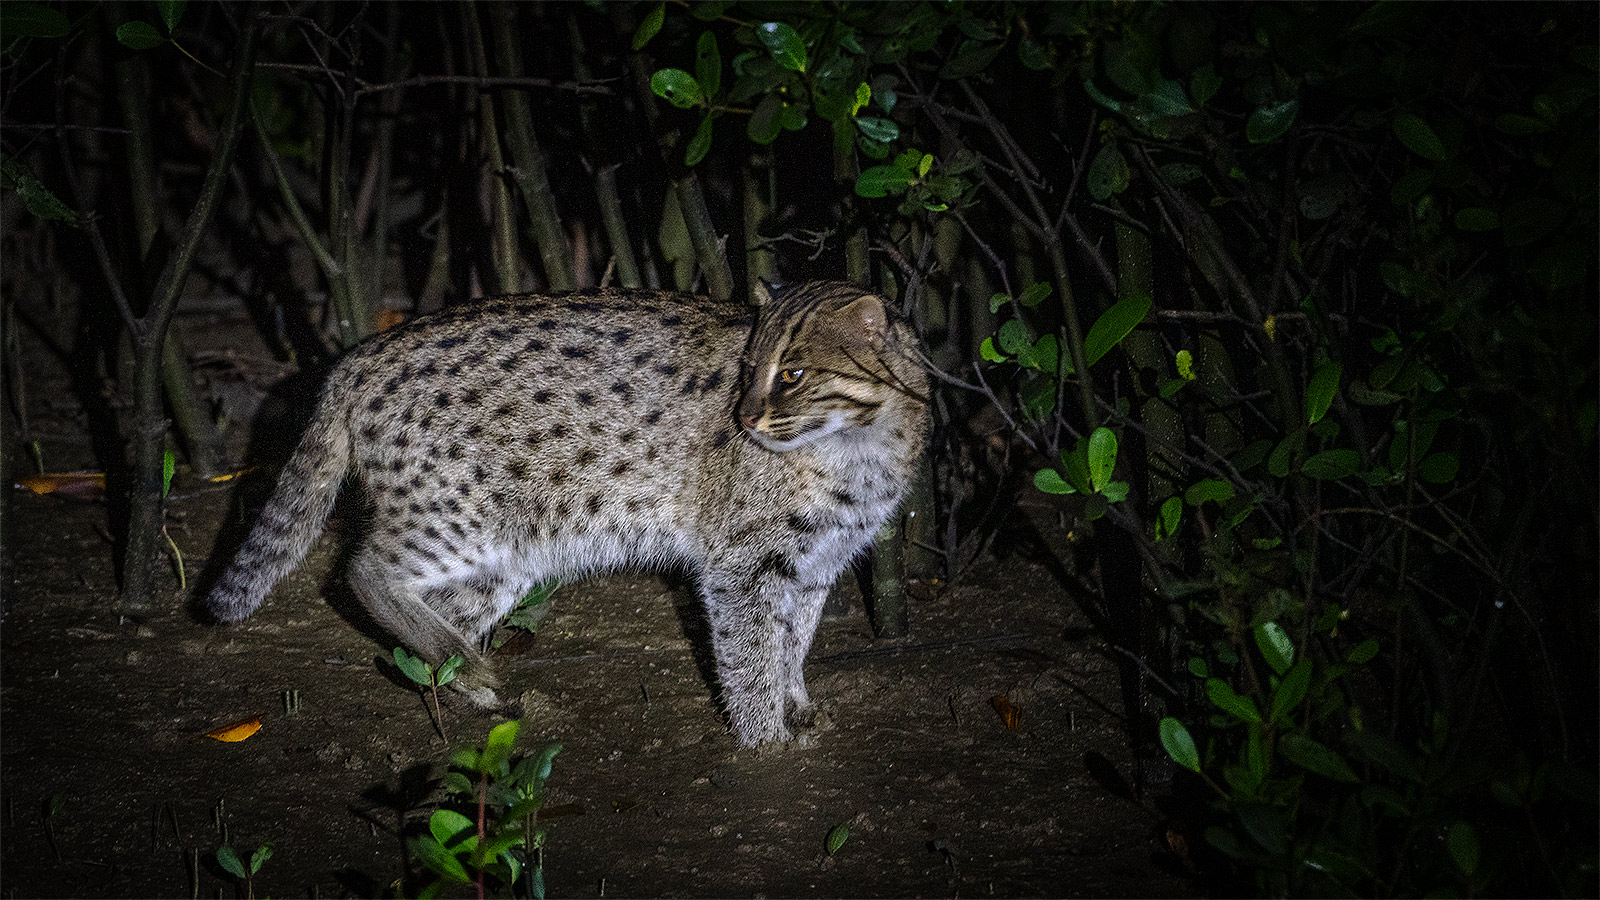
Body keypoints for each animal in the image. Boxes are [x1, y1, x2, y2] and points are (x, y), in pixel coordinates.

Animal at [203, 280, 928, 743]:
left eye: (793, 375)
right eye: (750, 370)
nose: (745, 417)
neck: (859, 448)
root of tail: (355, 360)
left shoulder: (817, 557)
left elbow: (793, 640)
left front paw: (795, 708)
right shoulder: (743, 562)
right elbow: (753, 650)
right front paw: (763, 739)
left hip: (509, 553)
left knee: (444, 612)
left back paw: (462, 671)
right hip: (463, 515)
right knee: (362, 572)